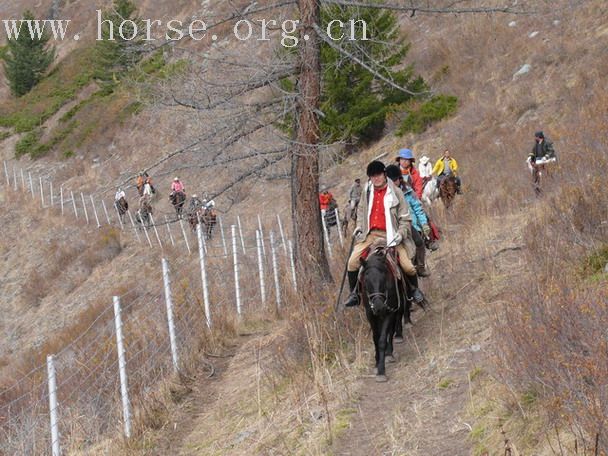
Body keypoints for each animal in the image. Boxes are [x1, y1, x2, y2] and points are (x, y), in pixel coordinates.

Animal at [358, 246, 402, 382]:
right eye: (366, 280)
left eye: (384, 278)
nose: (378, 306)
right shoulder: (370, 315)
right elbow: (376, 339)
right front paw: (377, 364)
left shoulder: (389, 311)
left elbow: (382, 339)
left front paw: (381, 371)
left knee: (392, 330)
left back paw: (389, 352)